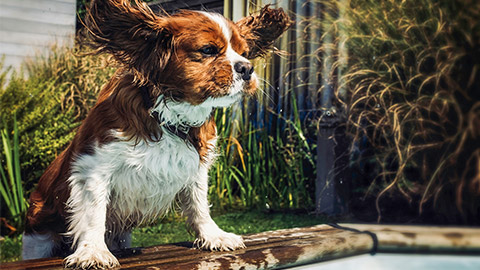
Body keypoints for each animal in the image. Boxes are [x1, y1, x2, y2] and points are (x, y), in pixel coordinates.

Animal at [22, 0, 290, 268]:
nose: (247, 68)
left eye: (244, 52)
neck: (168, 115)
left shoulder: (195, 170)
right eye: (208, 50)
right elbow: (93, 212)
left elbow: (199, 204)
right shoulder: (94, 168)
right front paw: (93, 251)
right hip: (36, 240)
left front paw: (213, 235)